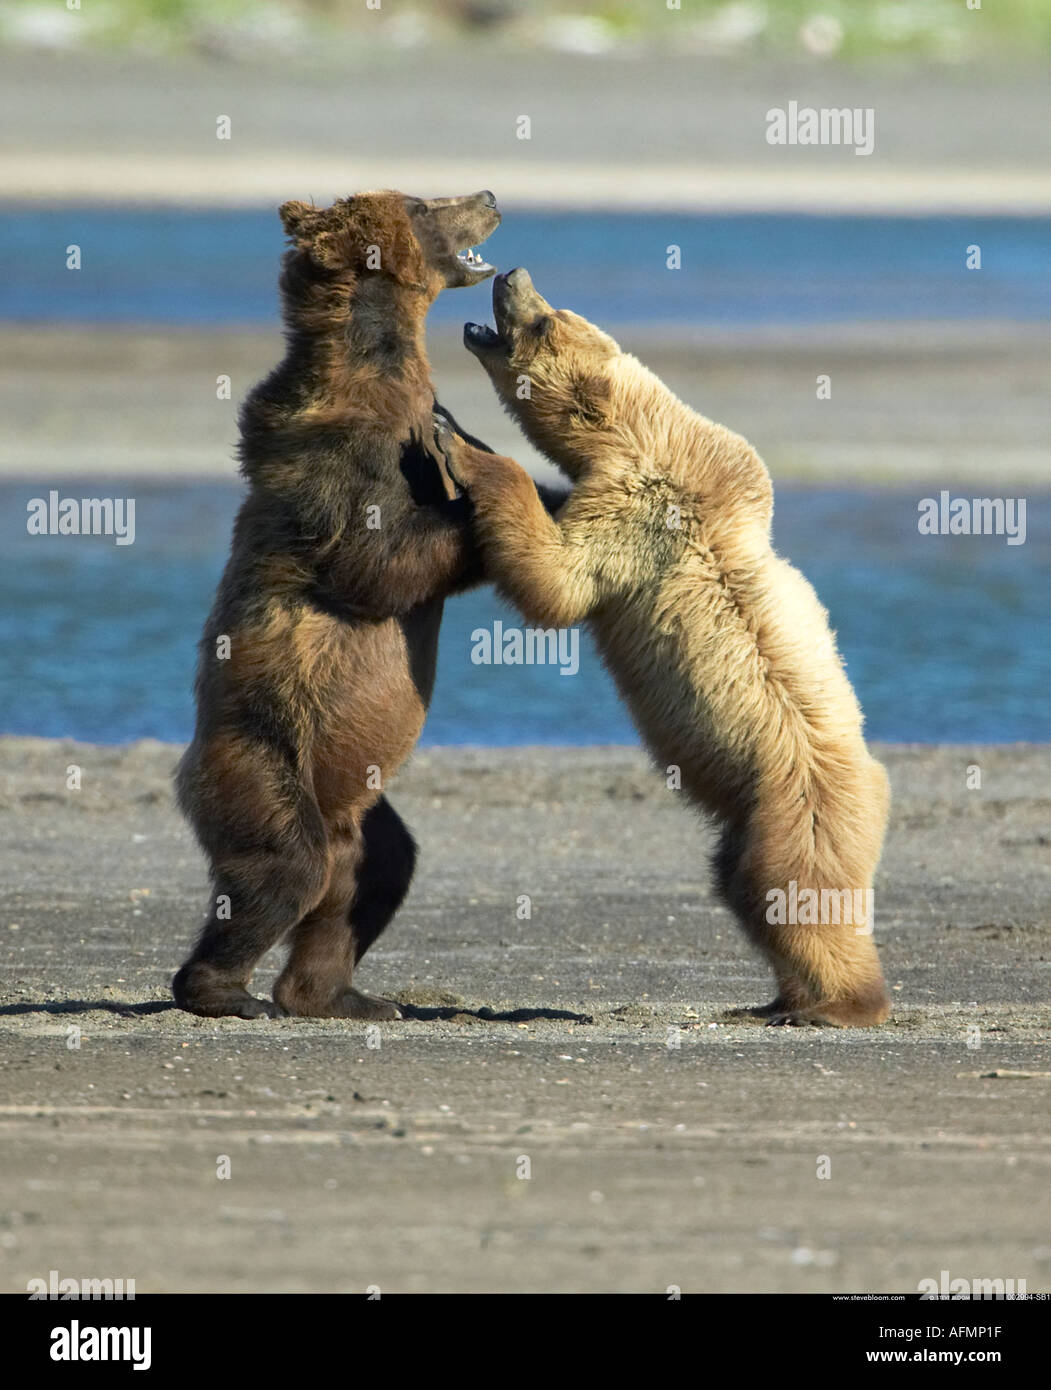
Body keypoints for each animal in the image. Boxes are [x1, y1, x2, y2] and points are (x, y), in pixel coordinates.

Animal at [172, 190, 508, 1021]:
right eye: (424, 203)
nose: (487, 195)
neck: (383, 370)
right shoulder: (342, 472)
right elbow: (378, 569)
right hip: (257, 758)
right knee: (284, 867)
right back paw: (225, 991)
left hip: (355, 799)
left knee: (371, 870)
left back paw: (340, 995)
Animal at [440, 266, 892, 1026]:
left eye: (547, 320)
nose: (510, 275)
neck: (634, 433)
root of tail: (875, 784)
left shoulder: (643, 512)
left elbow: (559, 579)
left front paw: (459, 443)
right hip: (748, 823)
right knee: (744, 892)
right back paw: (773, 1000)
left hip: (793, 812)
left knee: (793, 899)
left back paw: (837, 1004)